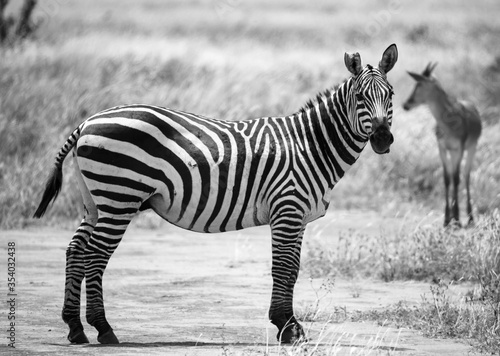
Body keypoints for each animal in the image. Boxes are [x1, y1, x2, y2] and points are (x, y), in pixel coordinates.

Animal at [33, 43, 398, 344]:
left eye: (391, 96)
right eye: (361, 98)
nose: (383, 139)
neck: (310, 145)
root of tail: (88, 122)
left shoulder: (299, 217)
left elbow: (293, 270)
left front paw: (288, 325)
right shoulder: (287, 210)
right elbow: (284, 268)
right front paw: (287, 327)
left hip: (96, 201)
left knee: (75, 250)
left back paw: (75, 328)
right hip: (119, 197)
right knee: (95, 255)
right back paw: (104, 329)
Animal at [404, 62, 482, 227]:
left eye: (419, 84)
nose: (406, 104)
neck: (449, 122)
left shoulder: (459, 148)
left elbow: (456, 178)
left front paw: (457, 218)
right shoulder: (442, 148)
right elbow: (447, 178)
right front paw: (447, 218)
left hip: (471, 148)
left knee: (466, 175)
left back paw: (470, 217)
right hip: (452, 152)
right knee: (454, 176)